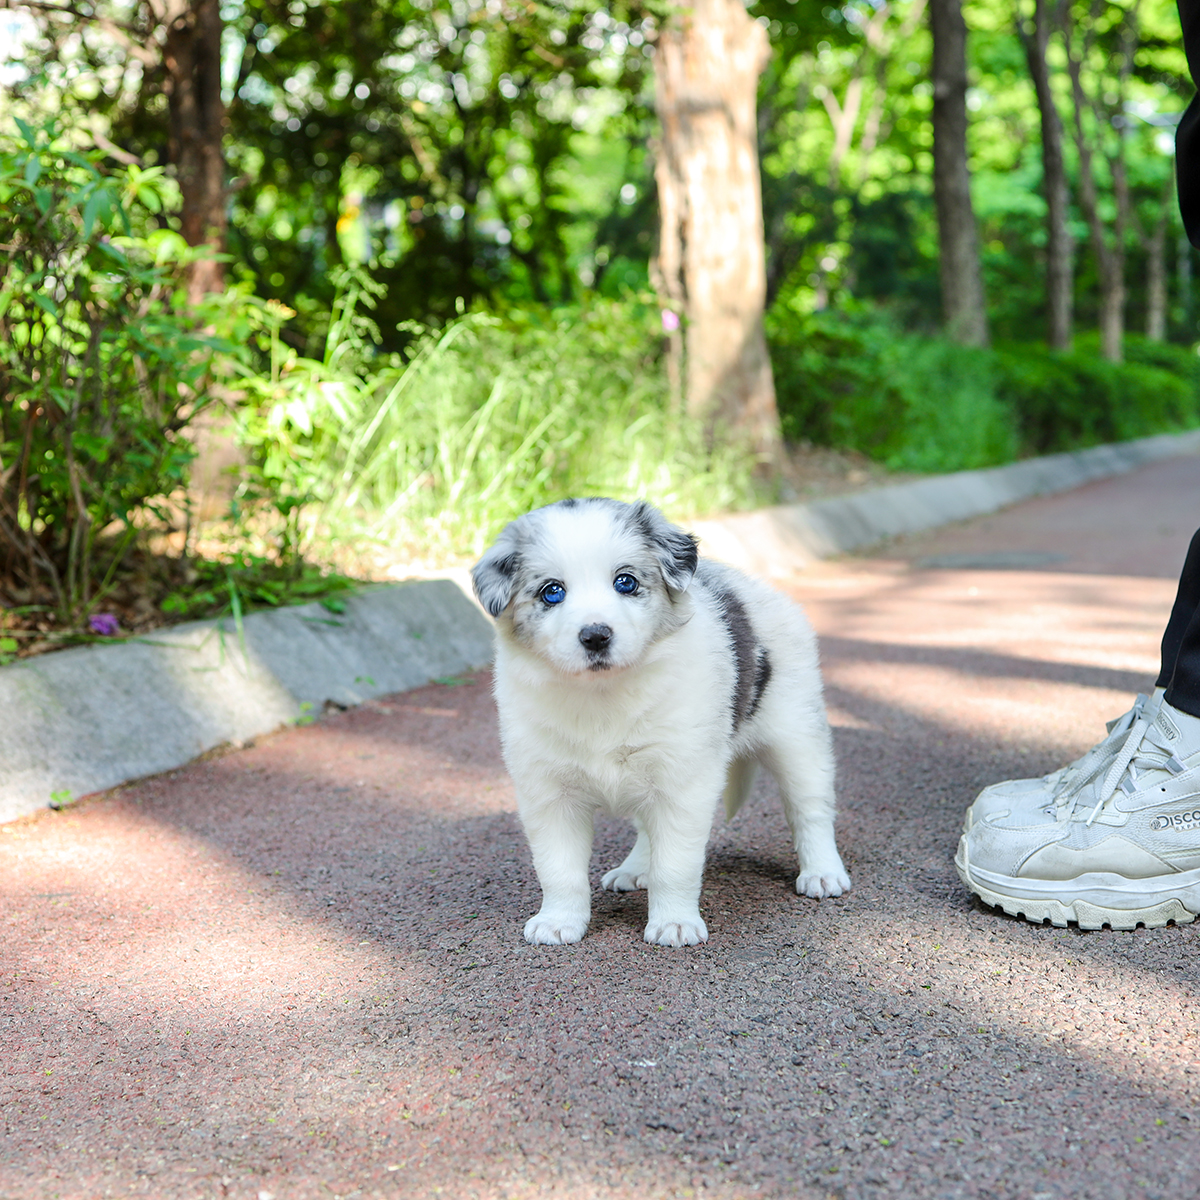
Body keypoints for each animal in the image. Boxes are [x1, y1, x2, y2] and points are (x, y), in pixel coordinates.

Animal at [472, 496, 849, 945]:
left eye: (625, 582)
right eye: (552, 592)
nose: (596, 636)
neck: (603, 696)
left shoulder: (682, 781)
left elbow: (676, 864)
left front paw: (674, 923)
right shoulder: (548, 791)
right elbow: (559, 868)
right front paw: (559, 921)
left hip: (797, 734)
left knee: (810, 809)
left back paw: (823, 873)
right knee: (646, 830)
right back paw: (634, 870)